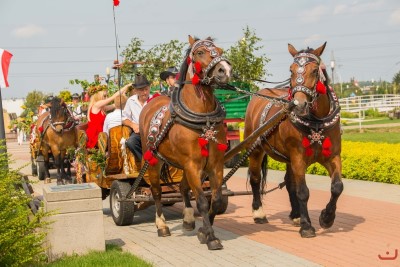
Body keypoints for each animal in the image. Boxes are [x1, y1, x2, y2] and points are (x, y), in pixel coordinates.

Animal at [140, 36, 231, 251]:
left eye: (219, 50)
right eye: (199, 52)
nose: (224, 70)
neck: (204, 118)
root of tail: (150, 103)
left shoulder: (215, 165)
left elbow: (215, 200)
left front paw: (203, 231)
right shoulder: (192, 165)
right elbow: (202, 201)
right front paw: (211, 237)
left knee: (182, 189)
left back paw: (188, 220)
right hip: (154, 161)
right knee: (157, 192)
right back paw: (162, 226)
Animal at [244, 42, 344, 239]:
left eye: (315, 70)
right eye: (291, 70)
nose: (299, 104)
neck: (316, 123)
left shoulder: (332, 156)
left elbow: (337, 187)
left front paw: (326, 218)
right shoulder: (298, 158)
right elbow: (303, 191)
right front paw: (307, 226)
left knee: (290, 183)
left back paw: (296, 214)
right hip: (256, 149)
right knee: (255, 179)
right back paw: (259, 212)